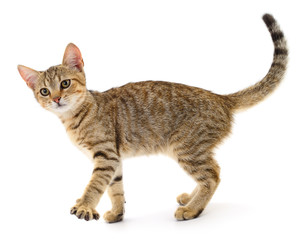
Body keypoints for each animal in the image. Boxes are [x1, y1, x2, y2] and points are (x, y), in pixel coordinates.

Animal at [17, 14, 288, 222]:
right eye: (44, 91)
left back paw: (192, 209)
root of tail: (221, 98)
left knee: (213, 175)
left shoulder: (105, 155)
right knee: (212, 173)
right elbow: (116, 188)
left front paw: (85, 205)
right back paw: (190, 199)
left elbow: (95, 184)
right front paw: (117, 214)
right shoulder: (114, 159)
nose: (55, 99)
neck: (77, 116)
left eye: (65, 83)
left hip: (186, 147)